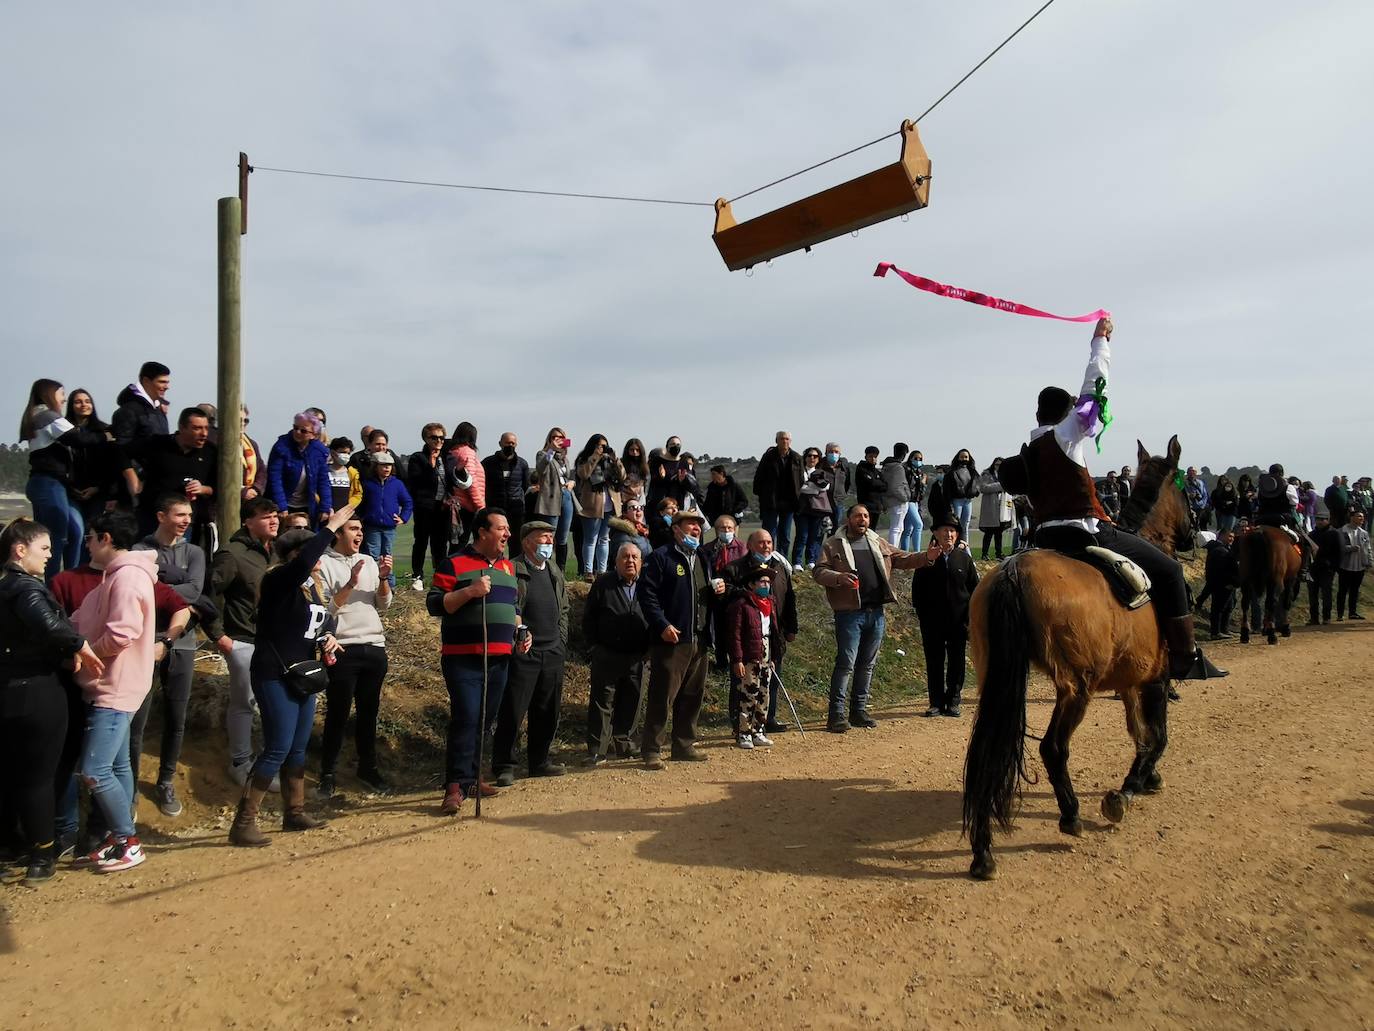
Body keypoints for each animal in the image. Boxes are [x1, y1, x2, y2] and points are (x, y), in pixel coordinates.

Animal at [961, 434, 1198, 879]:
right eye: (1189, 492)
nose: (1194, 533)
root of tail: (1013, 570)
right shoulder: (1156, 679)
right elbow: (1157, 736)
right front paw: (1128, 789)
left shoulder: (1131, 682)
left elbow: (1139, 731)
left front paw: (1147, 777)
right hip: (1077, 687)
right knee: (1053, 749)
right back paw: (1070, 815)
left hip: (996, 680)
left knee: (986, 752)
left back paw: (983, 852)